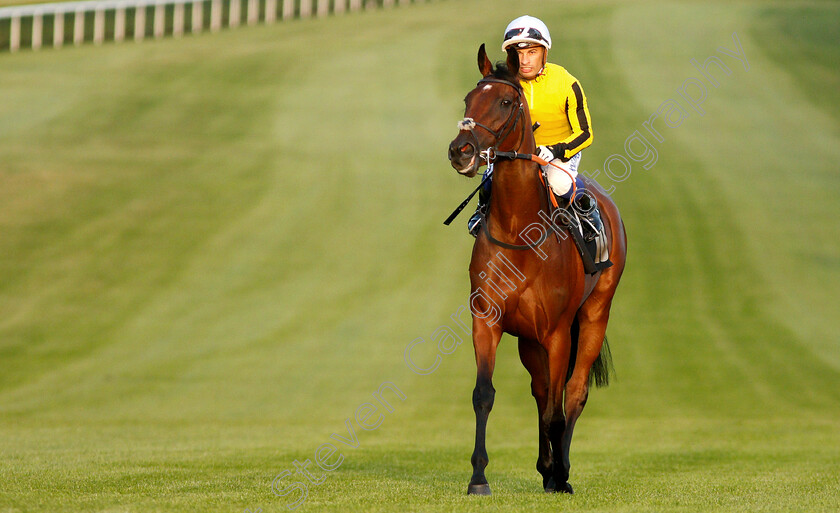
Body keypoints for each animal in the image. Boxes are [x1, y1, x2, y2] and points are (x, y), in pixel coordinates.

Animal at [446, 46, 624, 494]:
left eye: (506, 103)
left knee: (572, 393)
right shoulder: (487, 320)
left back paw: (561, 470)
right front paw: (478, 477)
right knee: (542, 391)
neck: (519, 232)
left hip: (594, 315)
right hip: (529, 340)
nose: (461, 151)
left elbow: (560, 405)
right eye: (468, 100)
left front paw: (559, 475)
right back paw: (547, 467)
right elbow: (484, 394)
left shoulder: (558, 332)